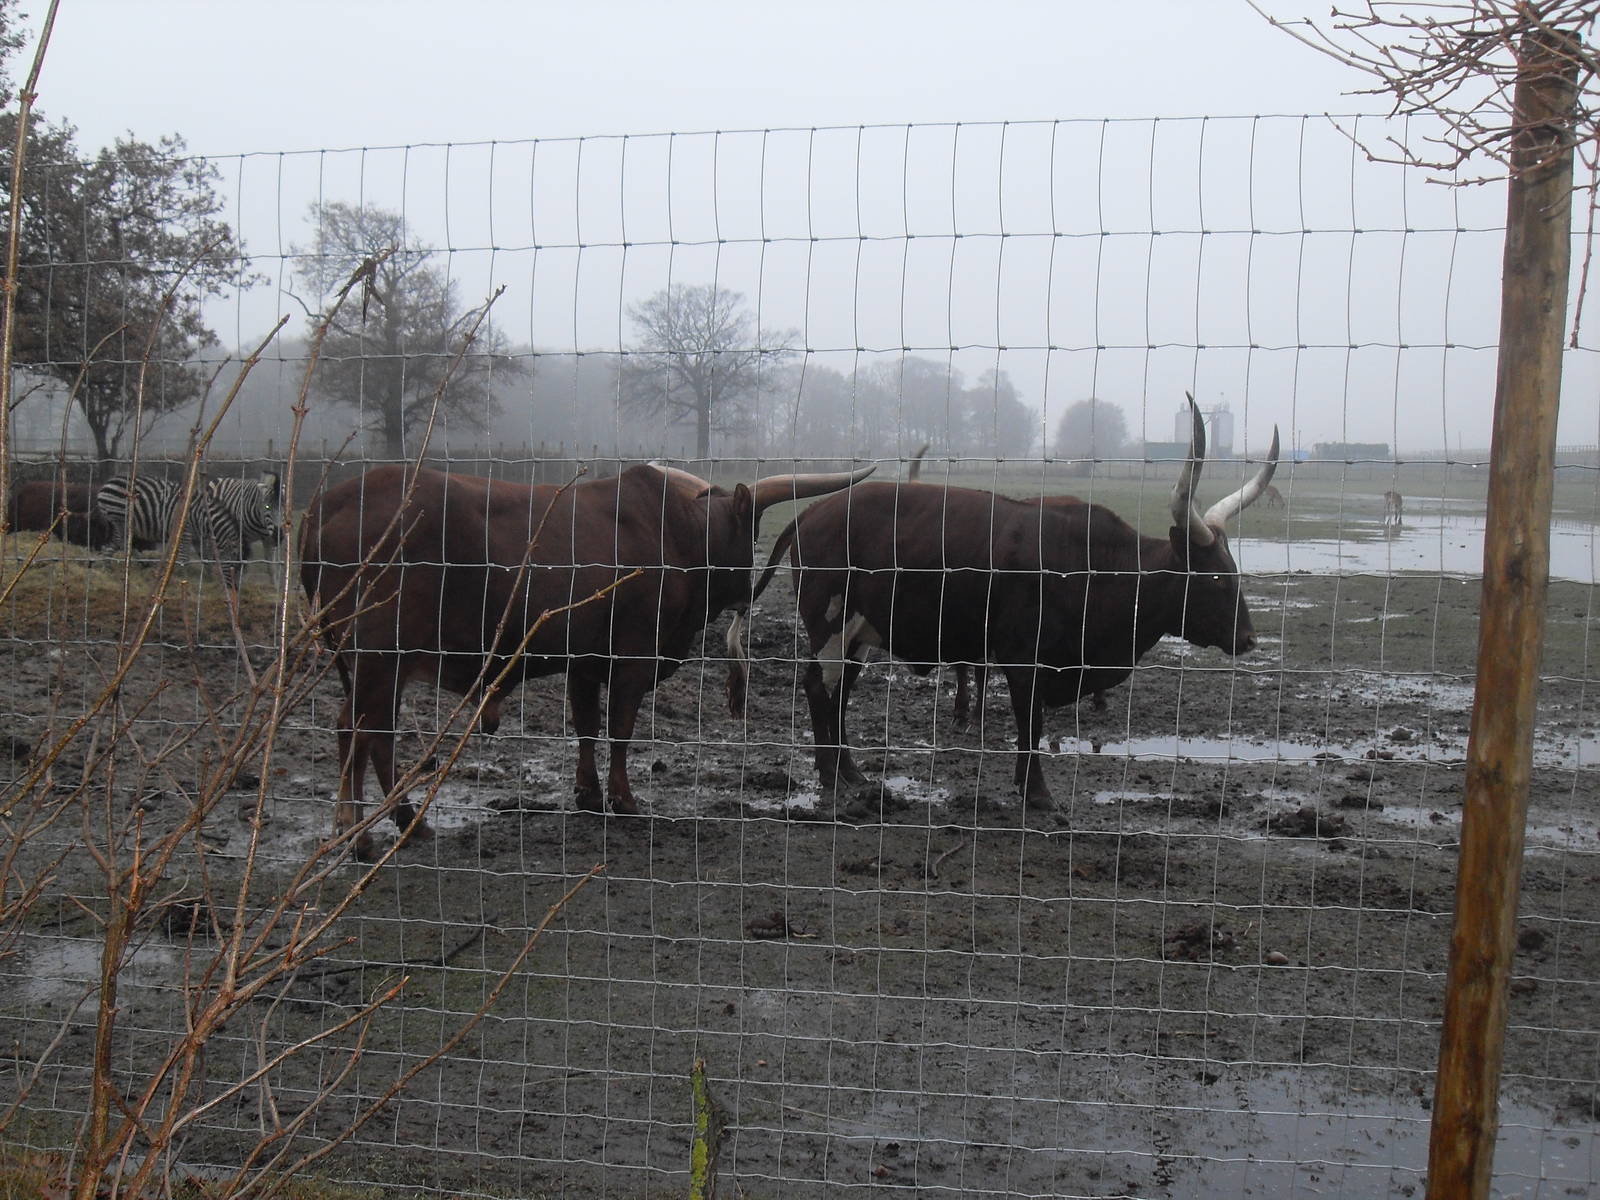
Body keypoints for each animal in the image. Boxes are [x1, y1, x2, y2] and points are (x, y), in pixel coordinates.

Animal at [300, 460, 874, 859]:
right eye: (749, 532)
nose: (748, 593)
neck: (676, 532)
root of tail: (330, 503)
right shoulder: (633, 658)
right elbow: (618, 728)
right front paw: (623, 799)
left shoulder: (583, 660)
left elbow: (585, 726)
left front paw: (587, 793)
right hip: (377, 658)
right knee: (357, 730)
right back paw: (369, 834)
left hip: (374, 666)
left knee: (371, 735)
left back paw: (395, 823)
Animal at [727, 396, 1278, 808]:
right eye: (1214, 579)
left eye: (1233, 573)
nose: (1249, 639)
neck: (1094, 566)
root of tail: (814, 511)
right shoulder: (1023, 659)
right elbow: (1029, 724)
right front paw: (1038, 795)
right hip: (830, 625)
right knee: (818, 689)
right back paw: (828, 776)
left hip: (860, 633)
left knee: (839, 694)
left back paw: (852, 774)